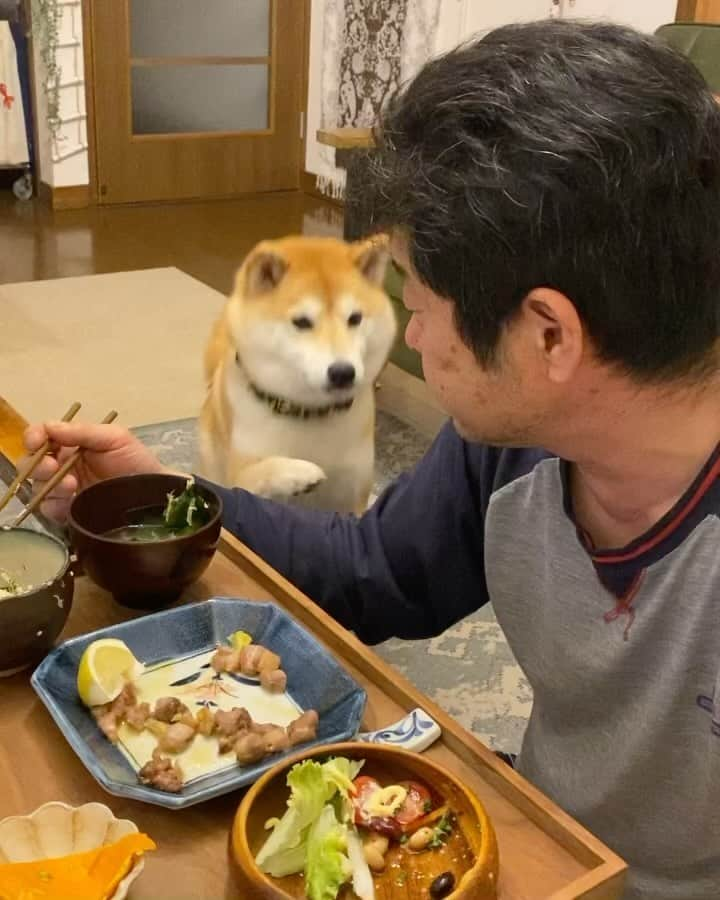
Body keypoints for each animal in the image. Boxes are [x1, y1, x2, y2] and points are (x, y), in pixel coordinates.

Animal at [200, 234, 396, 512]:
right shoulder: (240, 475)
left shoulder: (353, 492)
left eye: (355, 318)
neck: (308, 412)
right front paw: (298, 473)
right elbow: (262, 470)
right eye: (302, 322)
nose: (343, 372)